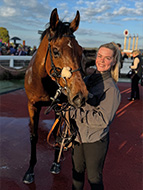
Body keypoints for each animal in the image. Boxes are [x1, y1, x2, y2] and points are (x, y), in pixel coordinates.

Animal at [22, 7, 87, 184]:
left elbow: (59, 131)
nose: (81, 95)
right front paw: (30, 170)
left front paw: (56, 162)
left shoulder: (60, 106)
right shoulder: (32, 105)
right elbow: (33, 136)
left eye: (80, 51)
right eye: (56, 51)